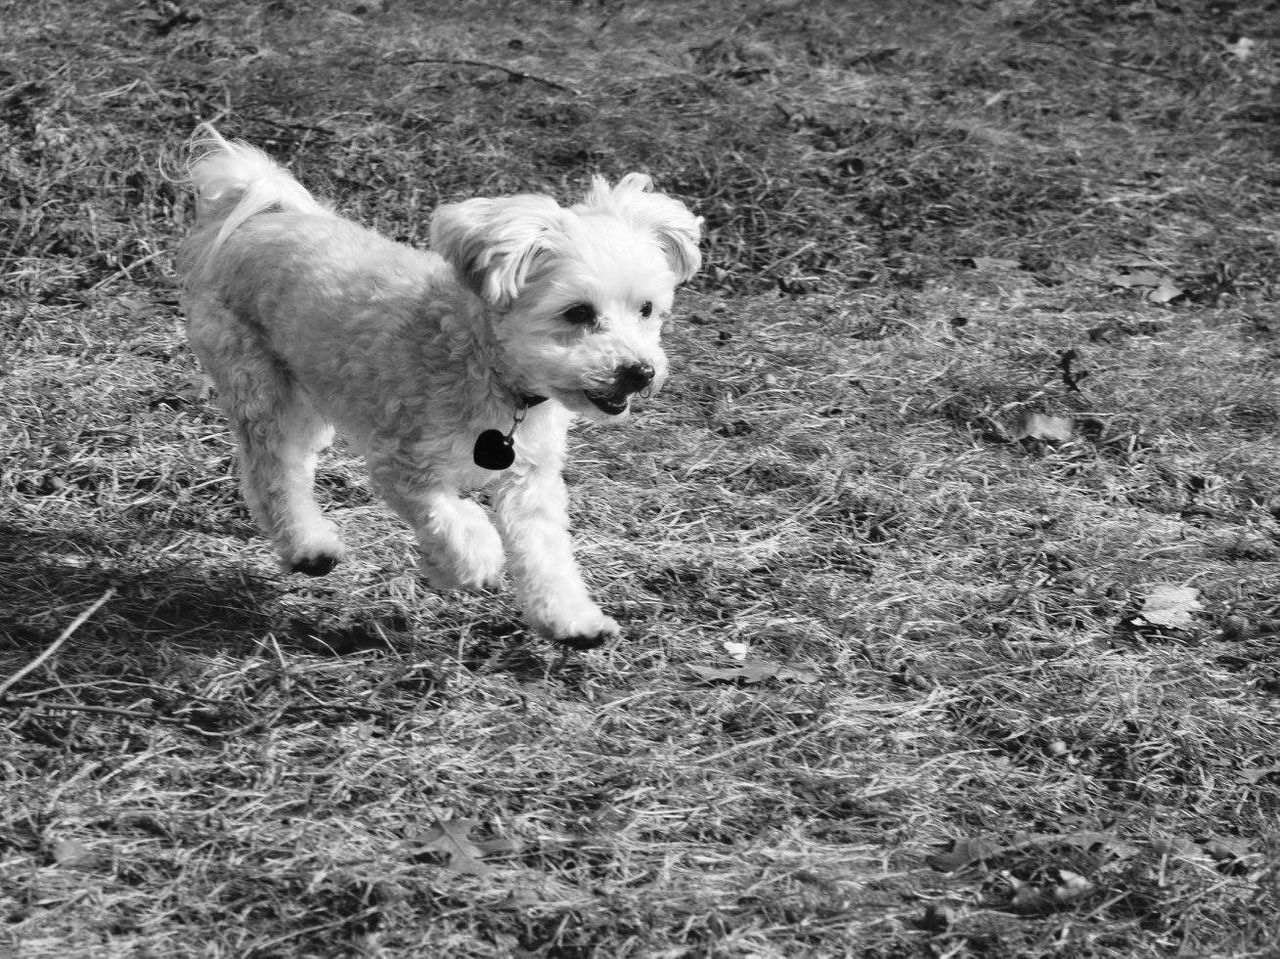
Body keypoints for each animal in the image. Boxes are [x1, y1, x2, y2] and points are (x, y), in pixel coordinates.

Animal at [176, 123, 701, 647]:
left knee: (295, 464)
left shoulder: (530, 478)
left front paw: (571, 619)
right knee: (271, 470)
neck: (489, 368)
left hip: (307, 394)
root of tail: (260, 216)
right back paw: (308, 548)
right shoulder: (403, 462)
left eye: (646, 309)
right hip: (260, 385)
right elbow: (454, 523)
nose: (639, 372)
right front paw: (466, 565)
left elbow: (545, 552)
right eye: (578, 313)